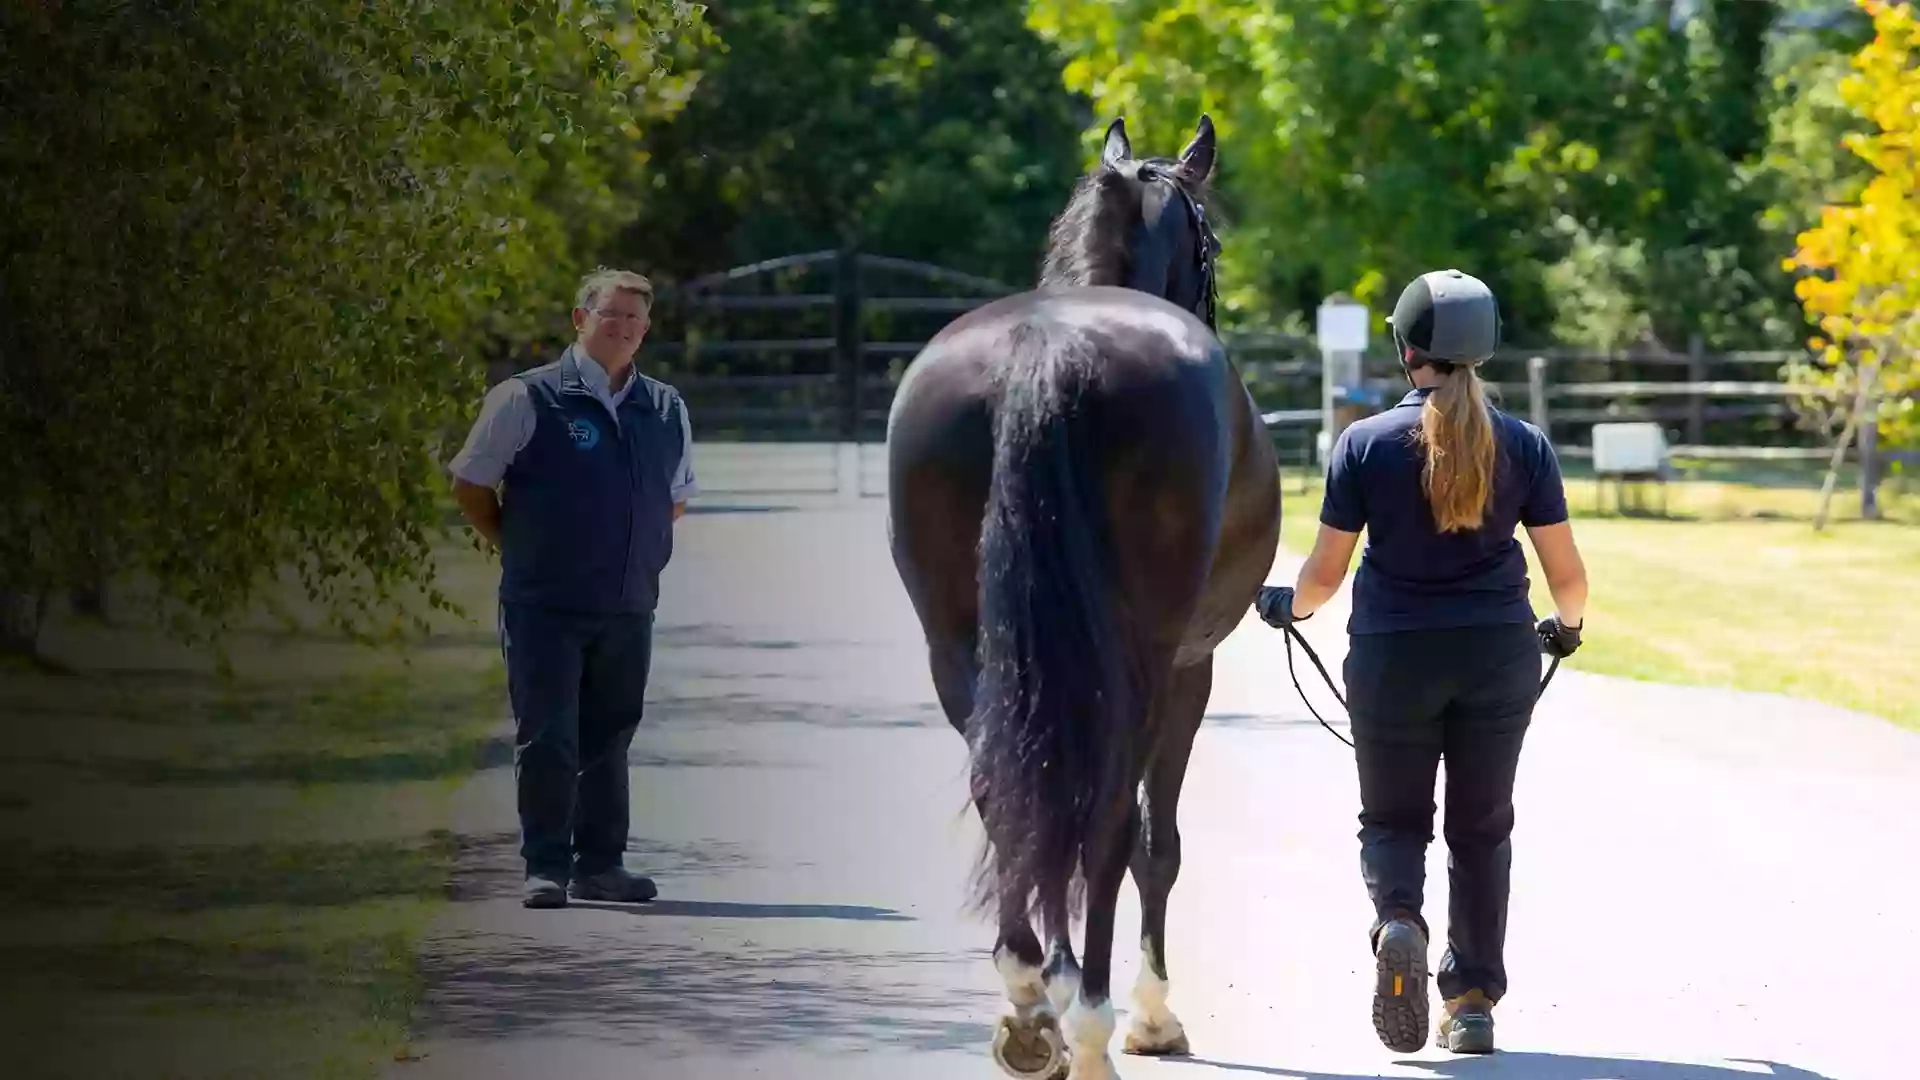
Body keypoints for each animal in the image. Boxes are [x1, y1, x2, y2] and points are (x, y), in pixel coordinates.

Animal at [879, 113, 1274, 1068]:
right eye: (1211, 243)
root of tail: (1046, 350)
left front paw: (1051, 978)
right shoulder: (1190, 670)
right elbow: (1156, 843)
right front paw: (1153, 1016)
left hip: (961, 649)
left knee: (1012, 790)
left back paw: (1030, 1000)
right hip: (1142, 668)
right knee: (1108, 824)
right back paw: (1093, 1022)